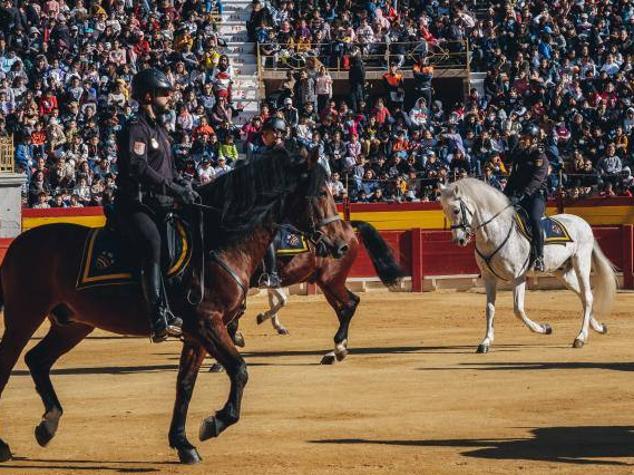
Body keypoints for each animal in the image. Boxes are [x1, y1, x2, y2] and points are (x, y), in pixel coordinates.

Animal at [0, 152, 346, 464]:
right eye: (321, 193)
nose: (341, 244)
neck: (219, 242)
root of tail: (19, 243)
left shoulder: (196, 334)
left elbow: (185, 385)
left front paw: (183, 443)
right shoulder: (208, 323)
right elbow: (239, 369)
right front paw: (214, 423)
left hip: (72, 324)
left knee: (37, 360)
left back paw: (48, 424)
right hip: (23, 319)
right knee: (9, 364)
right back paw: (6, 444)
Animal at [440, 178, 612, 354]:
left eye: (456, 210)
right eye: (444, 211)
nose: (459, 240)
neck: (495, 234)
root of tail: (583, 222)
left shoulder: (518, 277)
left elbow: (518, 309)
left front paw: (544, 328)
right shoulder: (489, 277)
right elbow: (490, 308)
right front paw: (486, 342)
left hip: (581, 262)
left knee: (588, 296)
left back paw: (580, 337)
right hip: (562, 272)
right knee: (583, 296)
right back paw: (598, 327)